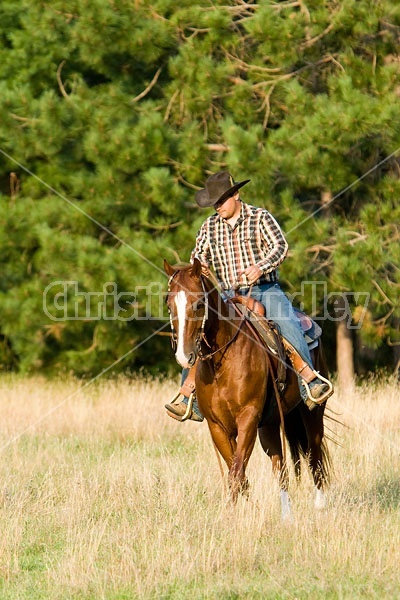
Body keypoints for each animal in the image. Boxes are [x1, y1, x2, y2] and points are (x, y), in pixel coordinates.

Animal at [165, 258, 332, 516]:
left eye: (199, 304)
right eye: (169, 304)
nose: (184, 356)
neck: (223, 361)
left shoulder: (248, 418)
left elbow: (236, 470)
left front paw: (233, 515)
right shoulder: (217, 426)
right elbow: (237, 471)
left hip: (312, 412)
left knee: (315, 456)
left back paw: (319, 505)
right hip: (270, 423)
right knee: (280, 467)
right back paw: (286, 514)